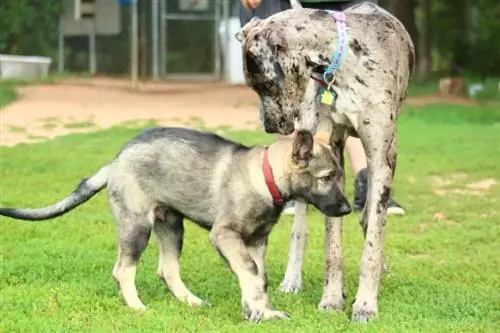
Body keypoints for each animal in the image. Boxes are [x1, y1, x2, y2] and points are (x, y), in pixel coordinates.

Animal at [0, 127, 350, 322]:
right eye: (327, 177)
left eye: (339, 176)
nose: (347, 208)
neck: (264, 177)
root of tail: (116, 160)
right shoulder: (225, 236)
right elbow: (250, 274)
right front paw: (260, 313)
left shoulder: (256, 240)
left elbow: (258, 279)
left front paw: (259, 310)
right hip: (137, 227)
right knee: (123, 270)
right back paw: (136, 306)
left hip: (171, 225)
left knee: (166, 269)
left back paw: (192, 302)